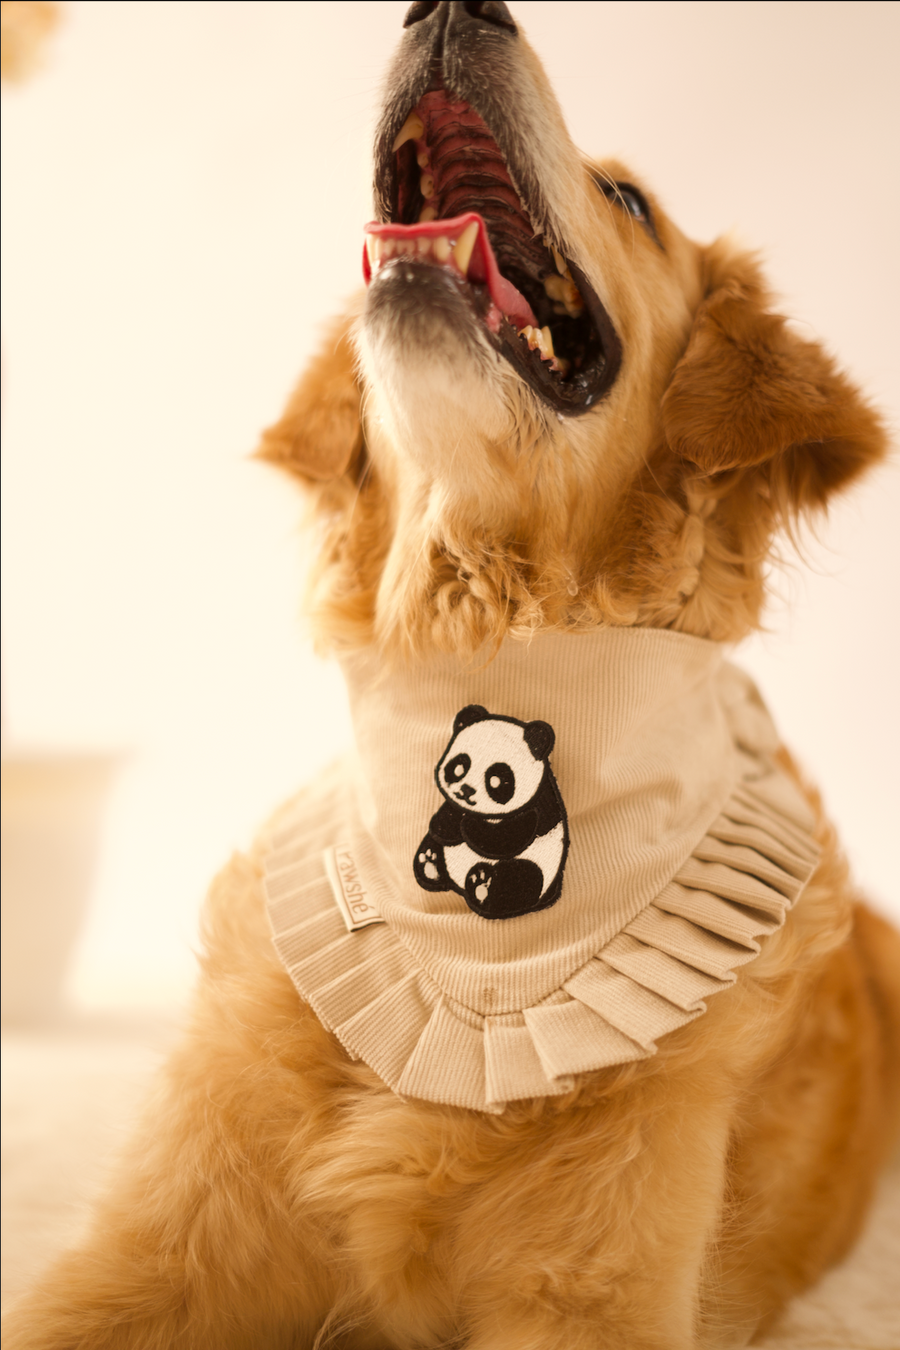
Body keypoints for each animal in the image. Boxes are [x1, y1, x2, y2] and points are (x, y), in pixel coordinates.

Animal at [413, 704, 569, 920]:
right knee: (432, 846)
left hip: (538, 866)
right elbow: (445, 821)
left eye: (496, 780)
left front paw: (467, 824)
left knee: (519, 880)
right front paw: (448, 825)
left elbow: (503, 839)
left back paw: (482, 886)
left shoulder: (537, 807)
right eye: (459, 766)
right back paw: (429, 862)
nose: (466, 791)